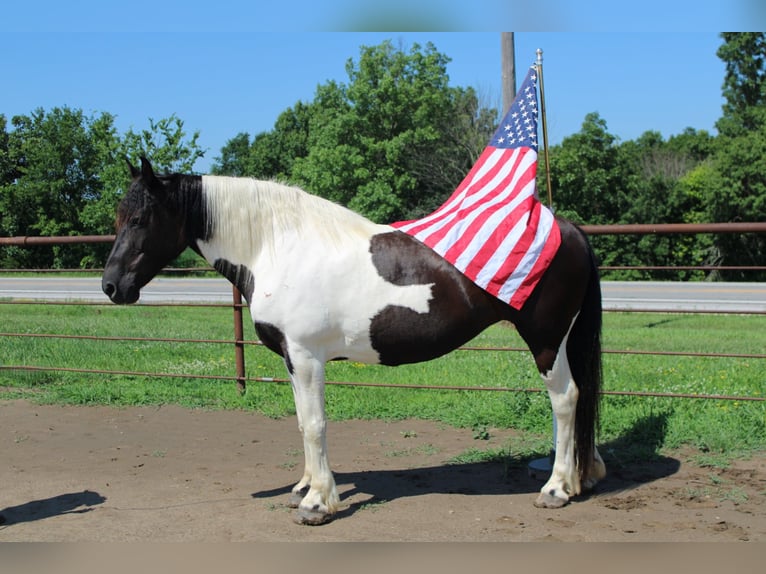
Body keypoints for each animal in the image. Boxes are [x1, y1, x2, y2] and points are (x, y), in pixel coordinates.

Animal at [102, 157, 605, 525]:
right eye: (119, 217)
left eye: (141, 218)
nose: (111, 287)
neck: (278, 248)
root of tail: (570, 230)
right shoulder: (292, 359)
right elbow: (302, 421)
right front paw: (304, 487)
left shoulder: (307, 357)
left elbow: (315, 424)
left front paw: (318, 503)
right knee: (577, 399)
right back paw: (583, 476)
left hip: (546, 339)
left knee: (566, 399)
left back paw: (556, 488)